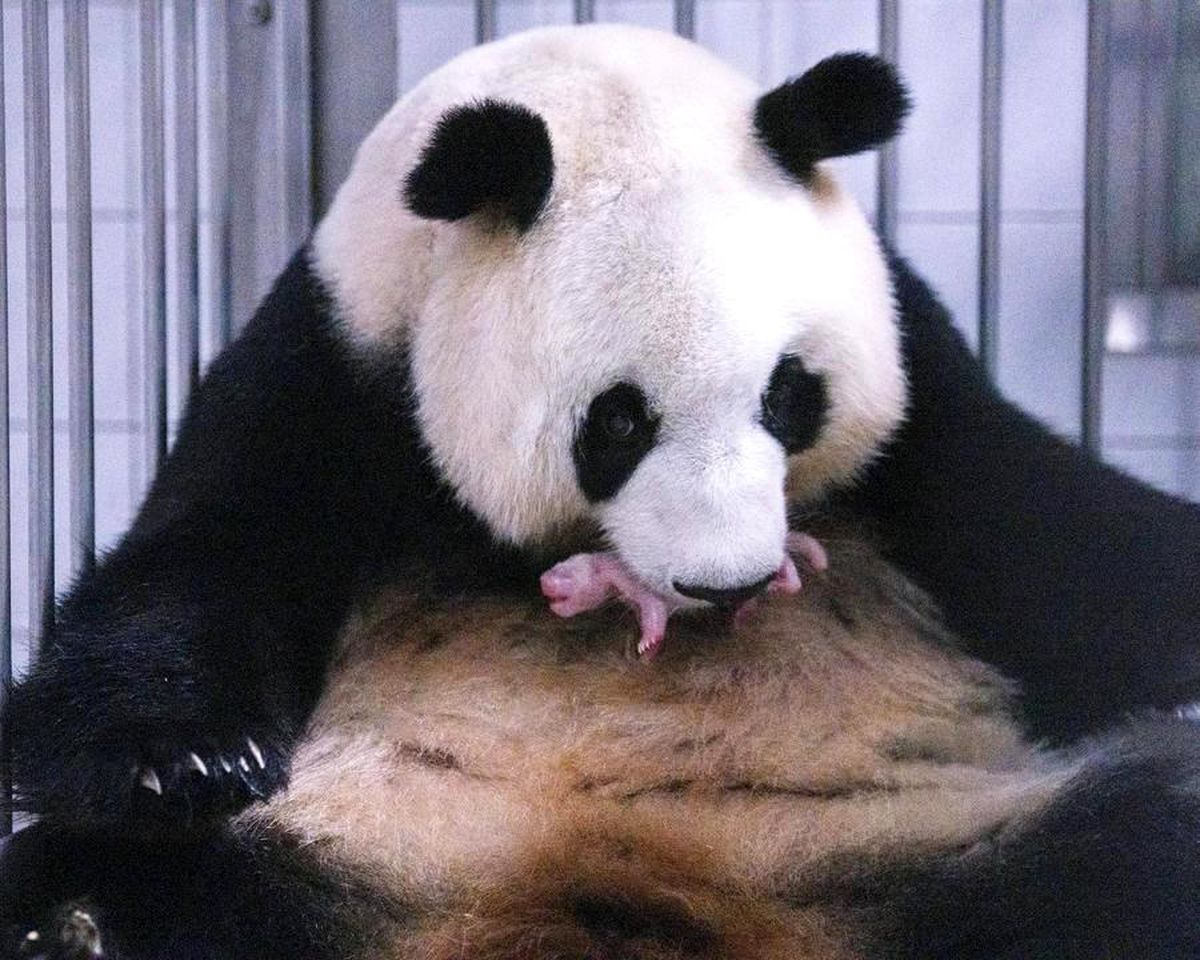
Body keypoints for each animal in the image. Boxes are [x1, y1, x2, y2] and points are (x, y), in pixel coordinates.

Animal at [4, 23, 1200, 960]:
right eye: (618, 423)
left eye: (789, 395)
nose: (730, 583)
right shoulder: (335, 363)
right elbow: (202, 555)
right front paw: (178, 758)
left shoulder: (924, 394)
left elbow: (1061, 536)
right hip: (358, 842)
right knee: (131, 872)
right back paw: (77, 923)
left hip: (924, 842)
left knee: (1138, 843)